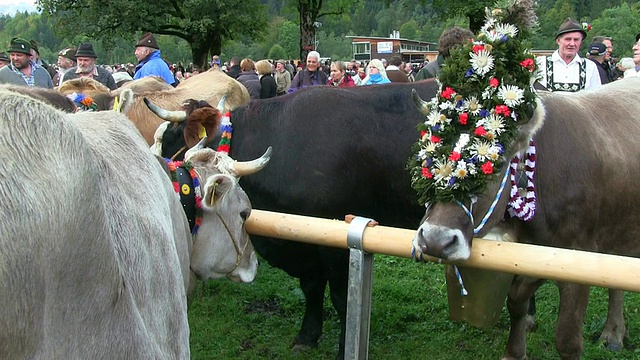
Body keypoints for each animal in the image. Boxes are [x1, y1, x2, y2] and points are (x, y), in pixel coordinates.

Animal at [410, 77, 640, 358]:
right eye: (426, 160)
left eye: (495, 165)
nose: (435, 240)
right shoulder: (524, 256)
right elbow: (517, 302)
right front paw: (515, 351)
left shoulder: (578, 259)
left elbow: (567, 340)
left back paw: (613, 333)